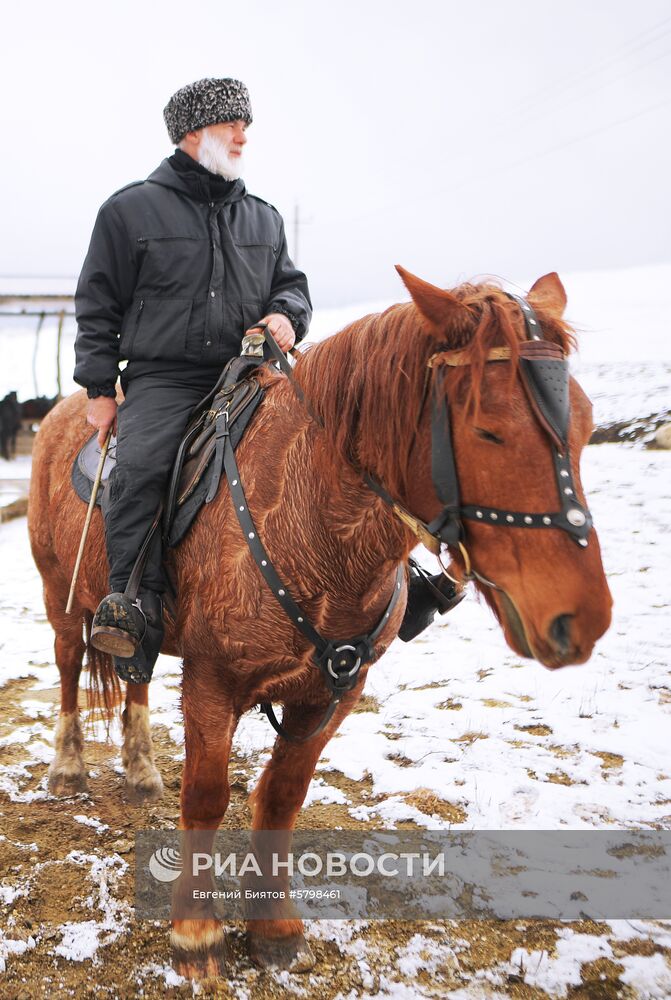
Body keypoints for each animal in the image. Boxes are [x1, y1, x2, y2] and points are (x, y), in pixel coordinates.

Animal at [27, 268, 616, 976]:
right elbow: (206, 796)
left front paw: (274, 927)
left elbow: (282, 797)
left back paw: (141, 770)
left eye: (585, 424)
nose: (581, 618)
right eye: (487, 430)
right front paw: (195, 931)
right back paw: (68, 768)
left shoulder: (335, 689)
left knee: (132, 672)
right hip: (62, 599)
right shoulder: (213, 682)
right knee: (68, 671)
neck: (313, 520)